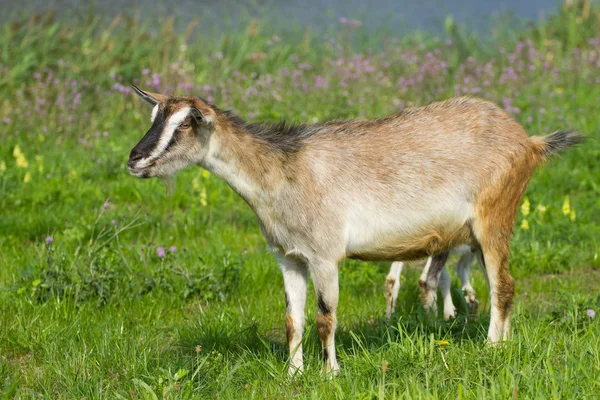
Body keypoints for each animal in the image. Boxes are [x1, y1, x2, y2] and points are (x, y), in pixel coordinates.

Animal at [126, 85, 580, 376]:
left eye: (186, 124)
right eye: (154, 117)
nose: (135, 159)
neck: (284, 171)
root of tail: (529, 141)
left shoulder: (325, 255)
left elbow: (326, 319)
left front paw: (330, 374)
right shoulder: (289, 258)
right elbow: (292, 320)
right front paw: (293, 375)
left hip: (494, 218)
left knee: (503, 285)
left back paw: (492, 347)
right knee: (502, 284)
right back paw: (503, 341)